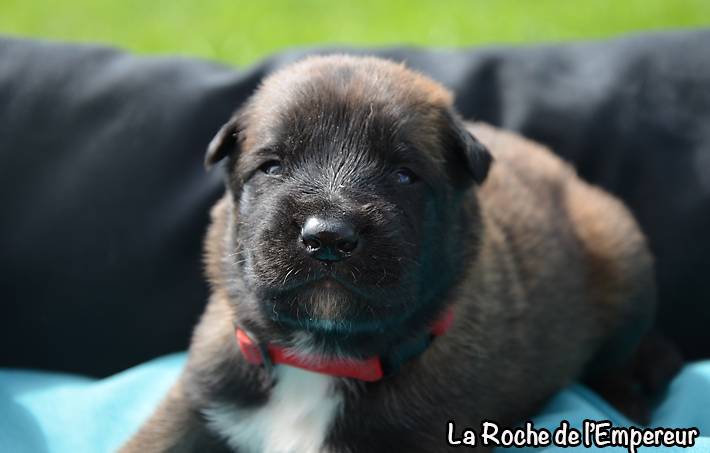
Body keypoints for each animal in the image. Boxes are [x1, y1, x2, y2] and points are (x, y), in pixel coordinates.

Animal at [122, 54, 660, 450]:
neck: (320, 359)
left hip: (622, 259)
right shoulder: (194, 405)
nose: (328, 238)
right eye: (272, 167)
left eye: (404, 175)